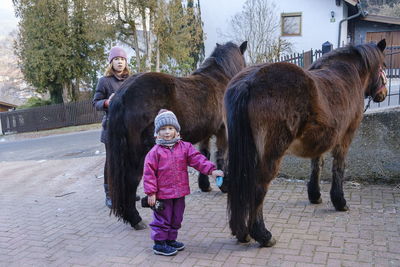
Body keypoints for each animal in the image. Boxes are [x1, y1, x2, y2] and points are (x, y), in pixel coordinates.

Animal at [108, 40, 248, 229]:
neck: (219, 79)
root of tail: (122, 94)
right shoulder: (222, 130)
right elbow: (221, 156)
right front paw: (224, 185)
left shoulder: (205, 132)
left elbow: (204, 155)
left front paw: (205, 185)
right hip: (139, 153)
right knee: (131, 179)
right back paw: (135, 219)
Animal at [223, 39, 386, 247]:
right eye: (383, 66)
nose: (383, 94)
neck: (348, 75)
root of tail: (248, 81)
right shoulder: (345, 137)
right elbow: (338, 167)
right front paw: (340, 202)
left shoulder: (321, 138)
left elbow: (317, 164)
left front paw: (315, 195)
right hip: (271, 155)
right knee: (258, 187)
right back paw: (263, 235)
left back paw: (241, 232)